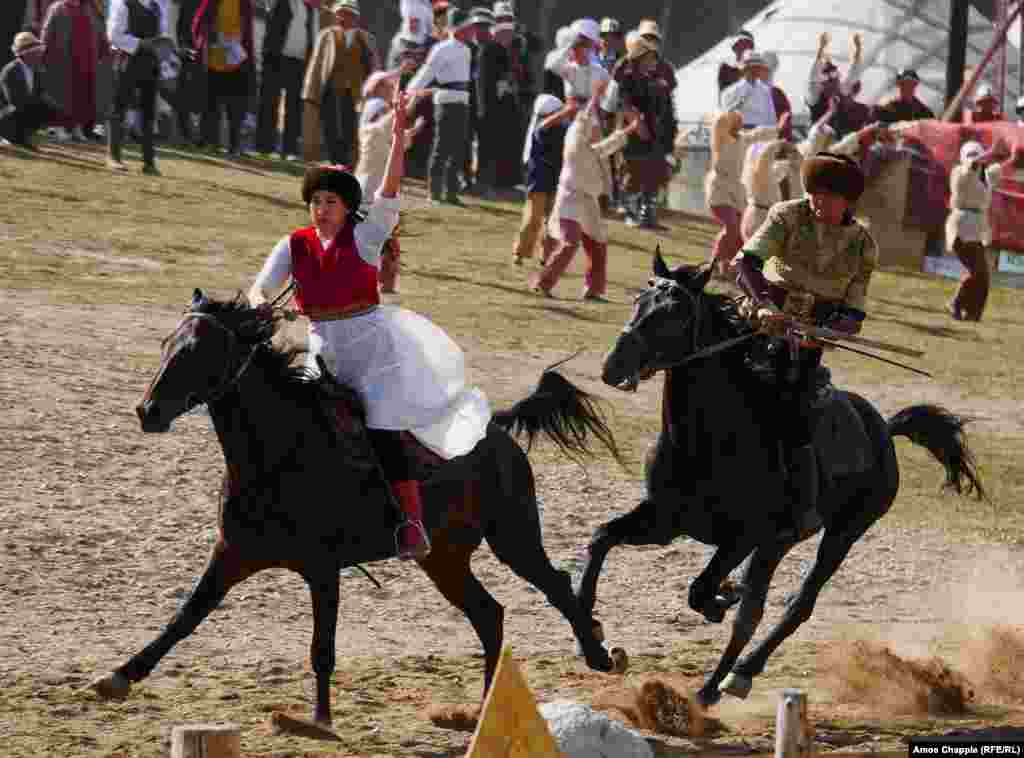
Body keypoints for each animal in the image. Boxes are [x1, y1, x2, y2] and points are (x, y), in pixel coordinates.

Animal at [92, 288, 626, 721]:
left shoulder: (322, 570)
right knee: (488, 614)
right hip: (444, 559)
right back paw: (485, 705)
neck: (281, 453)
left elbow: (322, 648)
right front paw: (120, 675)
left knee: (554, 585)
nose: (147, 411)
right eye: (167, 344)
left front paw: (321, 720)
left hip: (513, 537)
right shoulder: (233, 554)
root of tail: (493, 427)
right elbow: (185, 617)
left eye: (199, 352)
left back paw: (600, 654)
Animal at [577, 251, 983, 708]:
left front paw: (719, 604)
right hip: (780, 545)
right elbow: (602, 538)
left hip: (839, 535)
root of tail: (883, 427)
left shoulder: (745, 537)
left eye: (674, 313)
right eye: (639, 301)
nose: (613, 366)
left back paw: (728, 679)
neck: (709, 441)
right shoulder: (666, 520)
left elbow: (707, 593)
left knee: (789, 607)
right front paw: (594, 643)